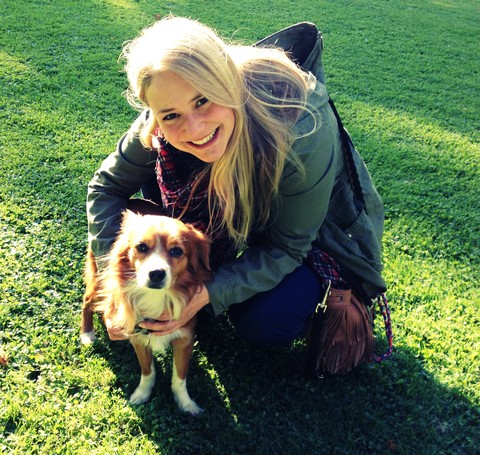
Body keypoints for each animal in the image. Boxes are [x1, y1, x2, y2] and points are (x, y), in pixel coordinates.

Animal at [79, 208, 211, 416]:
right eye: (141, 247)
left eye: (176, 251)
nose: (156, 273)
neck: (157, 298)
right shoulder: (138, 337)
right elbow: (148, 371)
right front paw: (142, 394)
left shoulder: (185, 338)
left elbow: (180, 377)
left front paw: (185, 404)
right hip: (100, 282)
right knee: (86, 301)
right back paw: (87, 334)